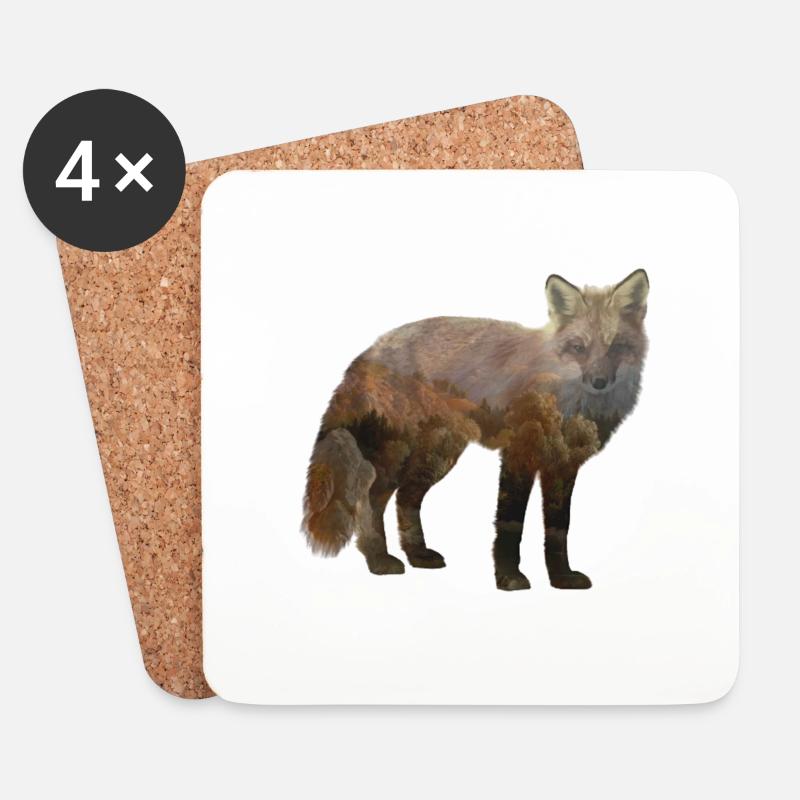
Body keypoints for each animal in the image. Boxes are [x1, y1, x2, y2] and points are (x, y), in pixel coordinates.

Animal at [302, 269, 649, 590]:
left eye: (617, 347)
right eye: (579, 348)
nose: (599, 382)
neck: (567, 400)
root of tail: (371, 348)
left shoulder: (563, 466)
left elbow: (558, 528)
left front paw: (561, 577)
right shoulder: (519, 455)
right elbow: (510, 524)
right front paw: (509, 578)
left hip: (438, 458)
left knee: (407, 498)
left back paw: (417, 555)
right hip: (394, 457)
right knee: (369, 501)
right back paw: (379, 560)